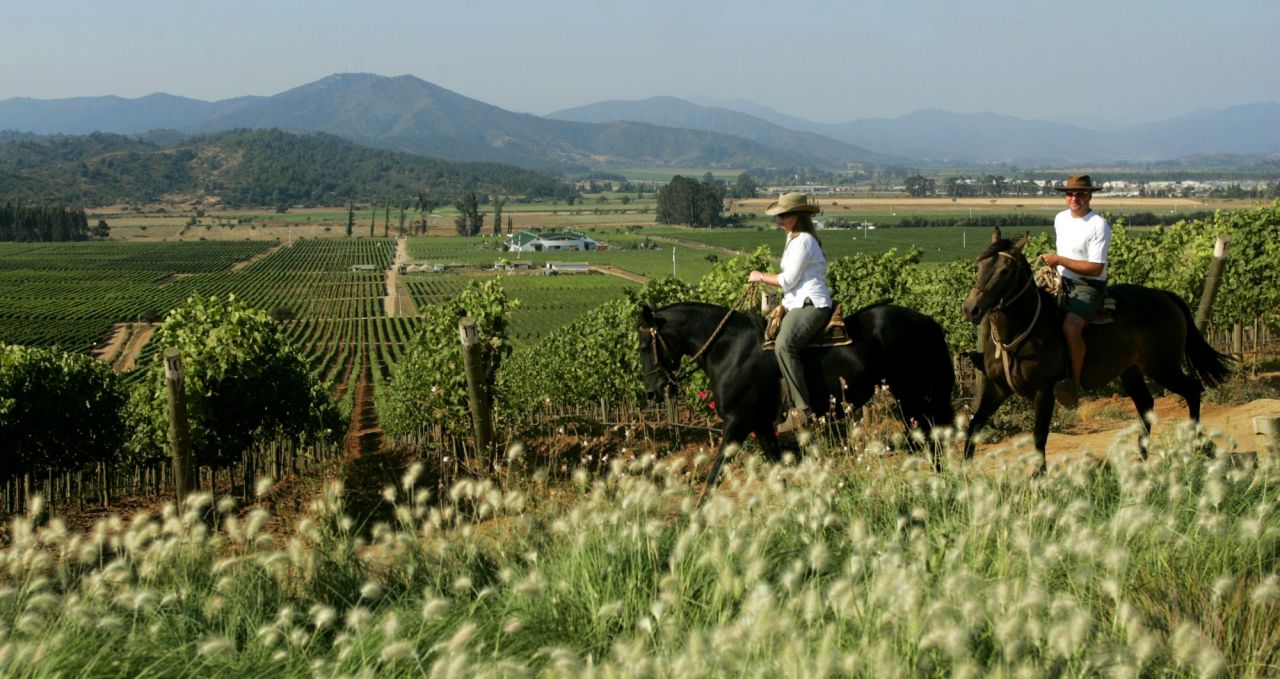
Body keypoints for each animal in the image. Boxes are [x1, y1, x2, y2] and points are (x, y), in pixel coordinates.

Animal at [634, 299, 957, 486]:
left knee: (930, 439)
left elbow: (714, 475)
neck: (729, 348)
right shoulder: (761, 425)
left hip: (911, 396)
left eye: (644, 346)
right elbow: (779, 471)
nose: (652, 391)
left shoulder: (738, 423)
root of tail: (926, 321)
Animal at [962, 228, 1228, 471]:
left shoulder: (1043, 391)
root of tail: (1165, 295)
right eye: (980, 264)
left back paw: (1199, 444)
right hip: (1131, 371)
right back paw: (1141, 455)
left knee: (1192, 389)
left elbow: (1039, 434)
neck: (1021, 332)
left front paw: (1038, 476)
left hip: (1162, 367)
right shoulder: (998, 388)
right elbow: (975, 424)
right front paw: (963, 472)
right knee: (1146, 403)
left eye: (1005, 270)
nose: (971, 309)